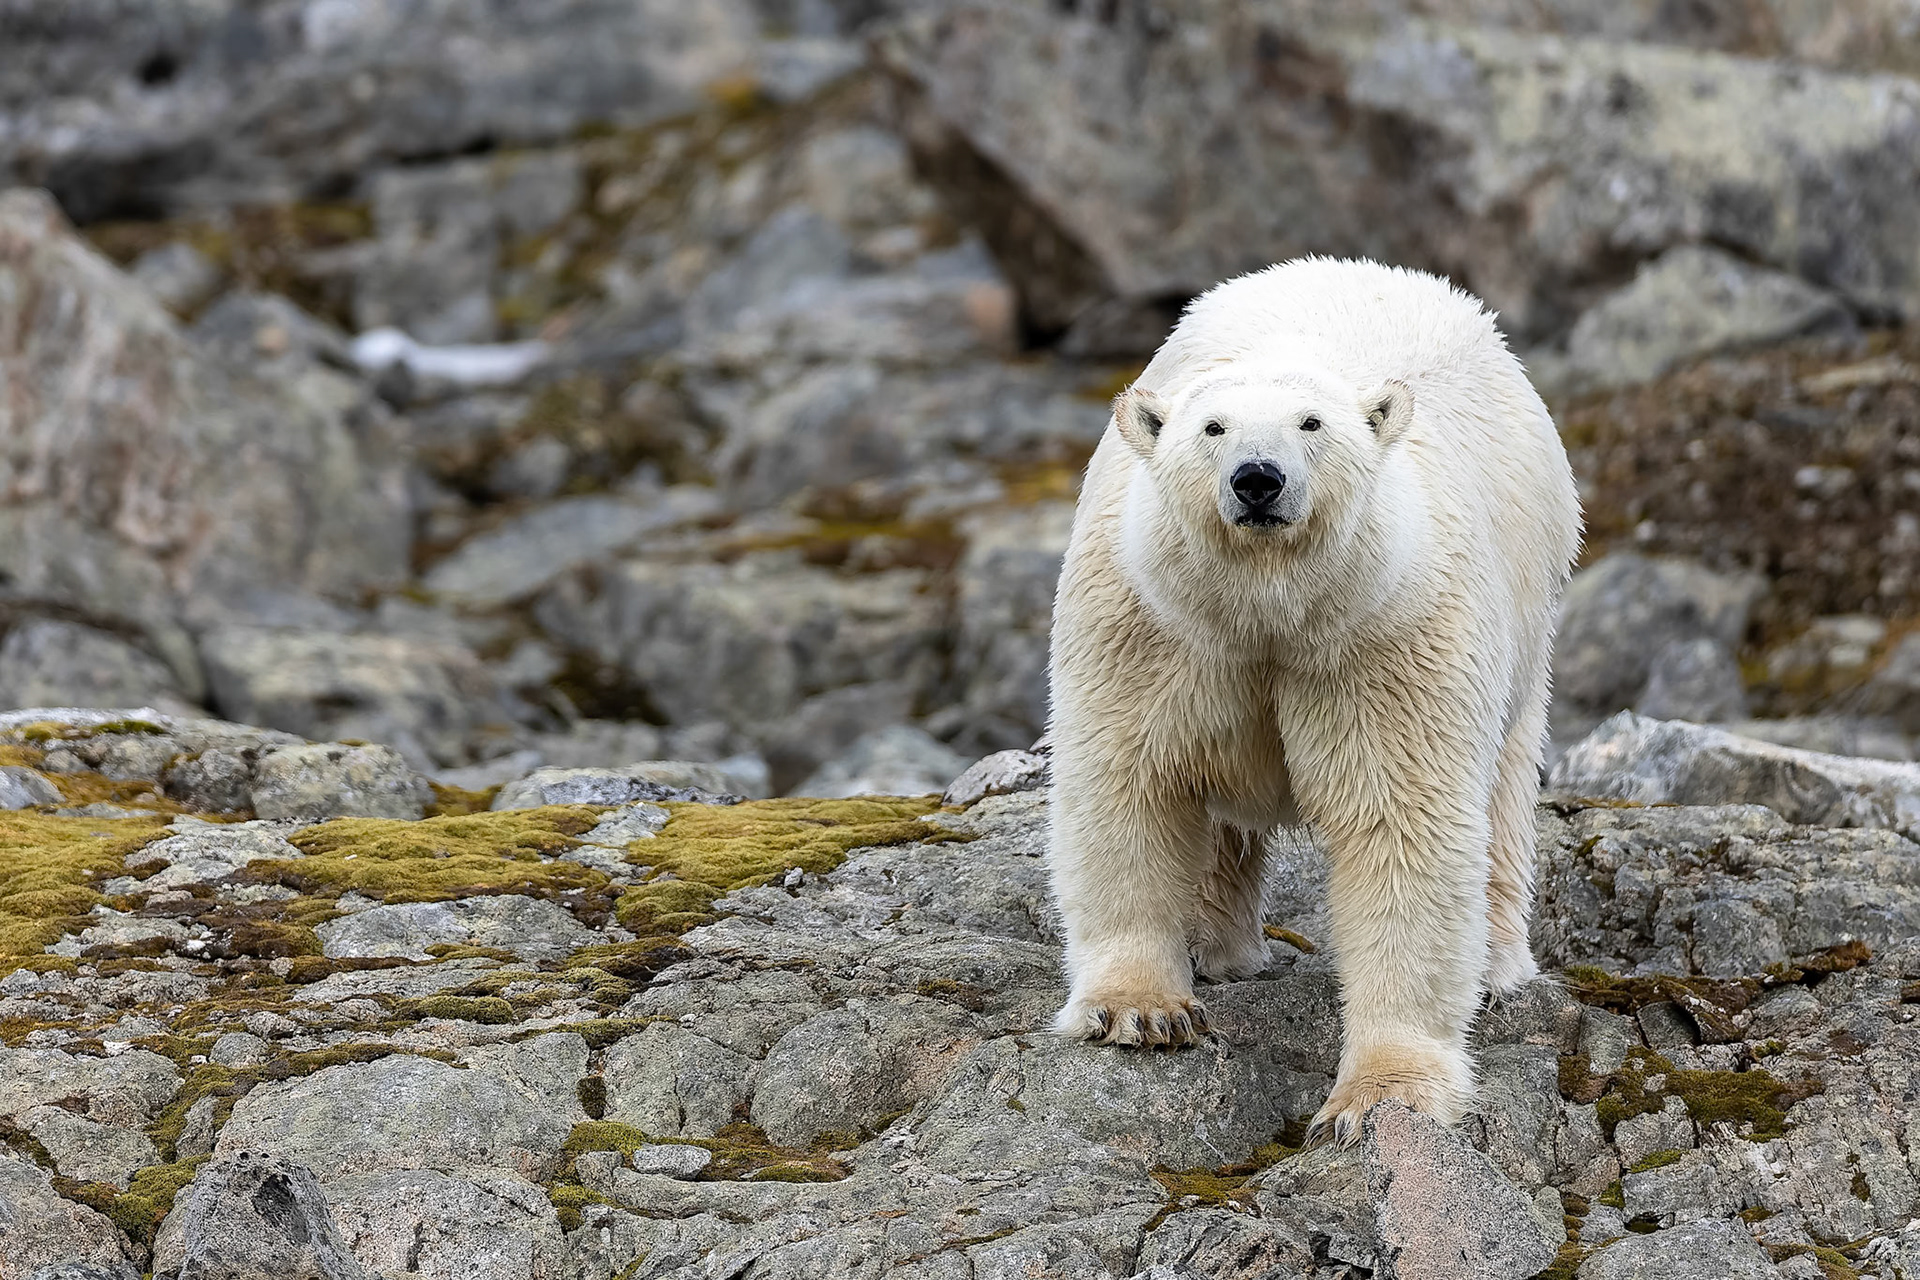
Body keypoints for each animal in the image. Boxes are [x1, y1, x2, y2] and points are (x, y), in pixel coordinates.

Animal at [1046, 256, 1581, 1142]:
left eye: (1311, 424)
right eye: (1213, 428)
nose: (1257, 480)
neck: (1272, 615)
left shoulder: (1386, 638)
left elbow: (1403, 828)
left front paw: (1382, 1095)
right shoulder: (1152, 626)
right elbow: (1131, 782)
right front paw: (1141, 1011)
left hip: (1531, 604)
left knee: (1504, 793)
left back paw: (1498, 965)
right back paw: (1219, 945)